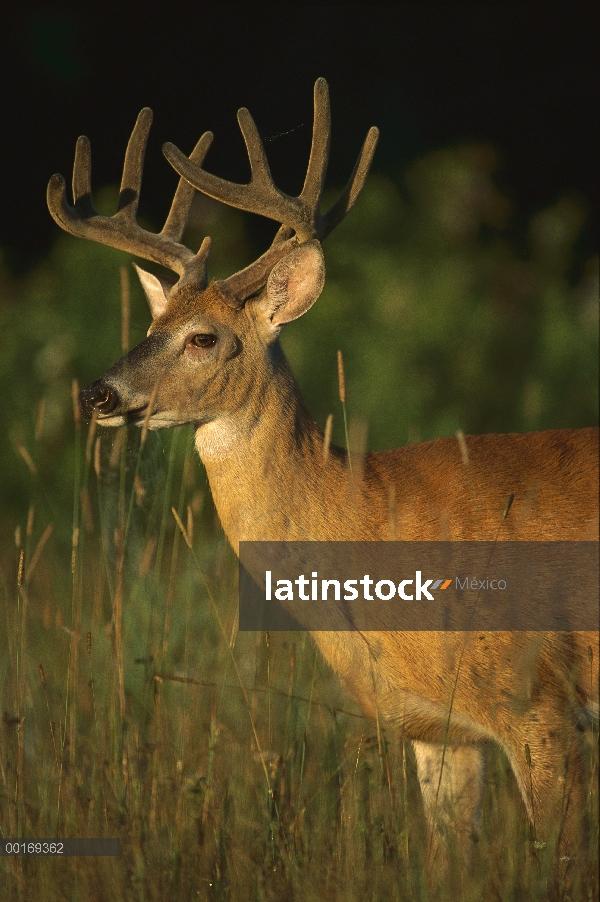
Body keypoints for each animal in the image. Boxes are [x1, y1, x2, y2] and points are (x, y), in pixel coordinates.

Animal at [49, 79, 596, 888]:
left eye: (205, 337)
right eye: (151, 326)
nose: (99, 394)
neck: (372, 518)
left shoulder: (540, 703)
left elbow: (565, 866)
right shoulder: (439, 730)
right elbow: (445, 868)